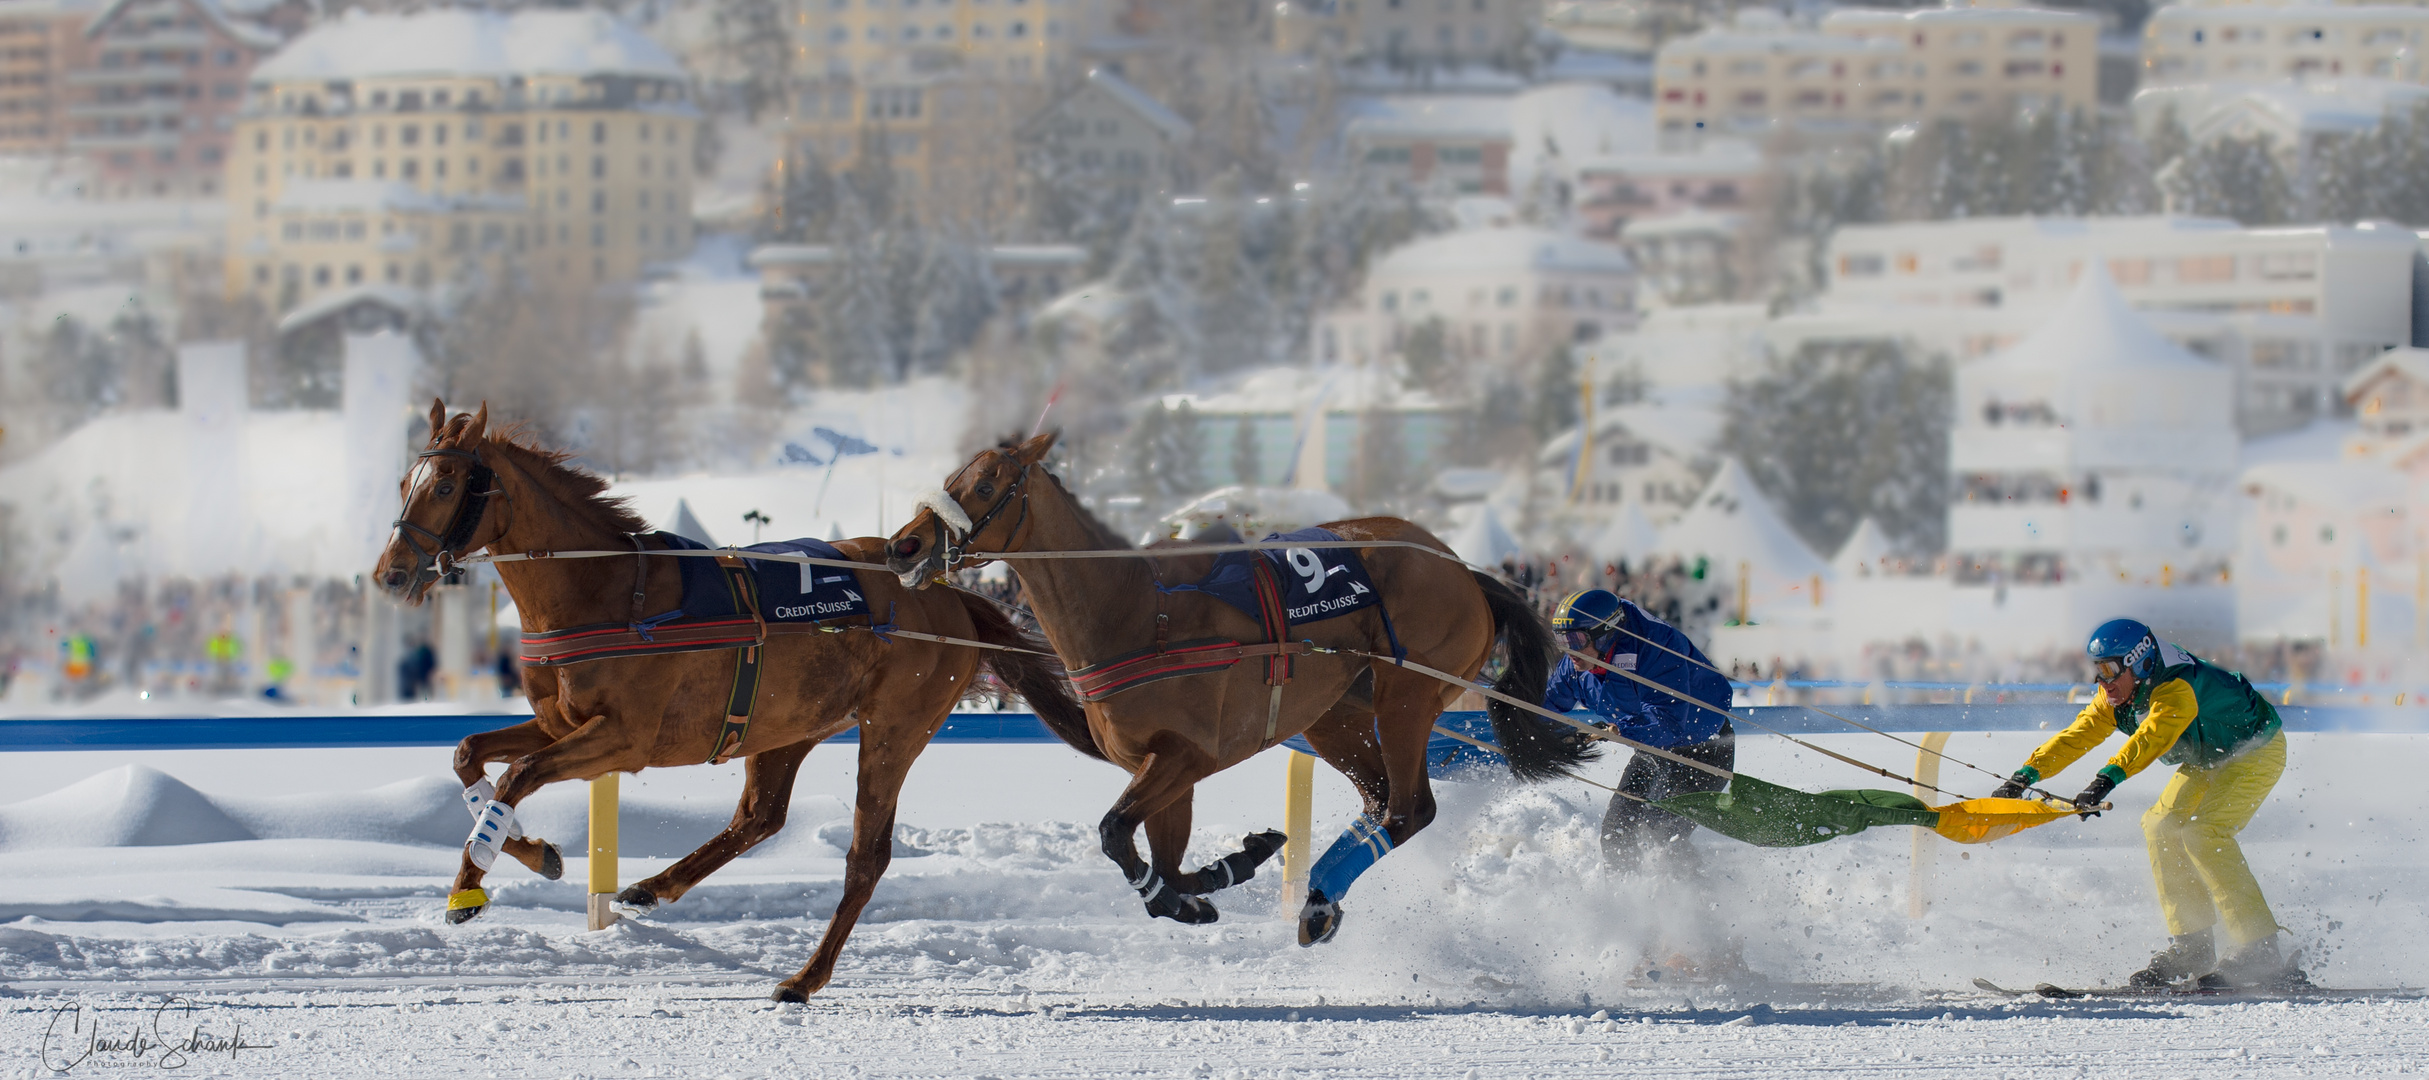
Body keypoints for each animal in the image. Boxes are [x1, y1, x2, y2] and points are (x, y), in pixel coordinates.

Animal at [369, 402, 1093, 999]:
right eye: (403, 483)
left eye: (444, 485)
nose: (390, 574)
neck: (606, 590)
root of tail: (950, 597)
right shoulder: (559, 720)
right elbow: (471, 755)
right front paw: (535, 852)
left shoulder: (624, 737)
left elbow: (516, 775)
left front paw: (468, 889)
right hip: (789, 724)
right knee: (760, 817)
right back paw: (652, 887)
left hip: (894, 726)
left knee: (865, 856)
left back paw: (803, 979)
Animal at [889, 434, 1593, 936]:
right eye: (950, 481)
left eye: (984, 483)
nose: (903, 546)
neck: (1137, 610)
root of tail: (1465, 571)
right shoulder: (1162, 767)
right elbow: (1167, 861)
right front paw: (1234, 863)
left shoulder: (1186, 753)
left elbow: (1116, 834)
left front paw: (1182, 899)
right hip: (1334, 714)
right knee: (1378, 798)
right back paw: (1319, 898)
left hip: (1408, 694)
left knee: (1408, 808)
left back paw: (1319, 898)